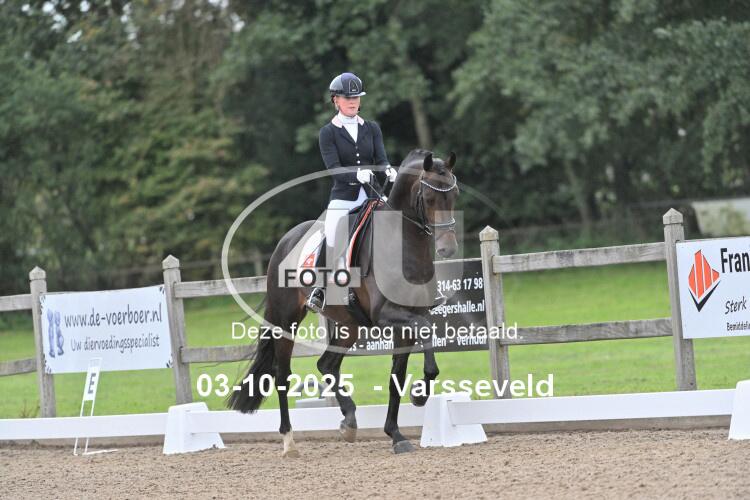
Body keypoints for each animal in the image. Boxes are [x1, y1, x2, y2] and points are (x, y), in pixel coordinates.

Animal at [227, 149, 459, 456]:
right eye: (430, 197)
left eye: (455, 194)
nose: (448, 249)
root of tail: (285, 240)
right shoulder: (388, 314)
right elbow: (425, 332)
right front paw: (419, 395)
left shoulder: (407, 320)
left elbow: (396, 378)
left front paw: (396, 434)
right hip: (286, 320)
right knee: (282, 375)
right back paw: (289, 441)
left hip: (351, 325)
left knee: (326, 364)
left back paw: (349, 419)